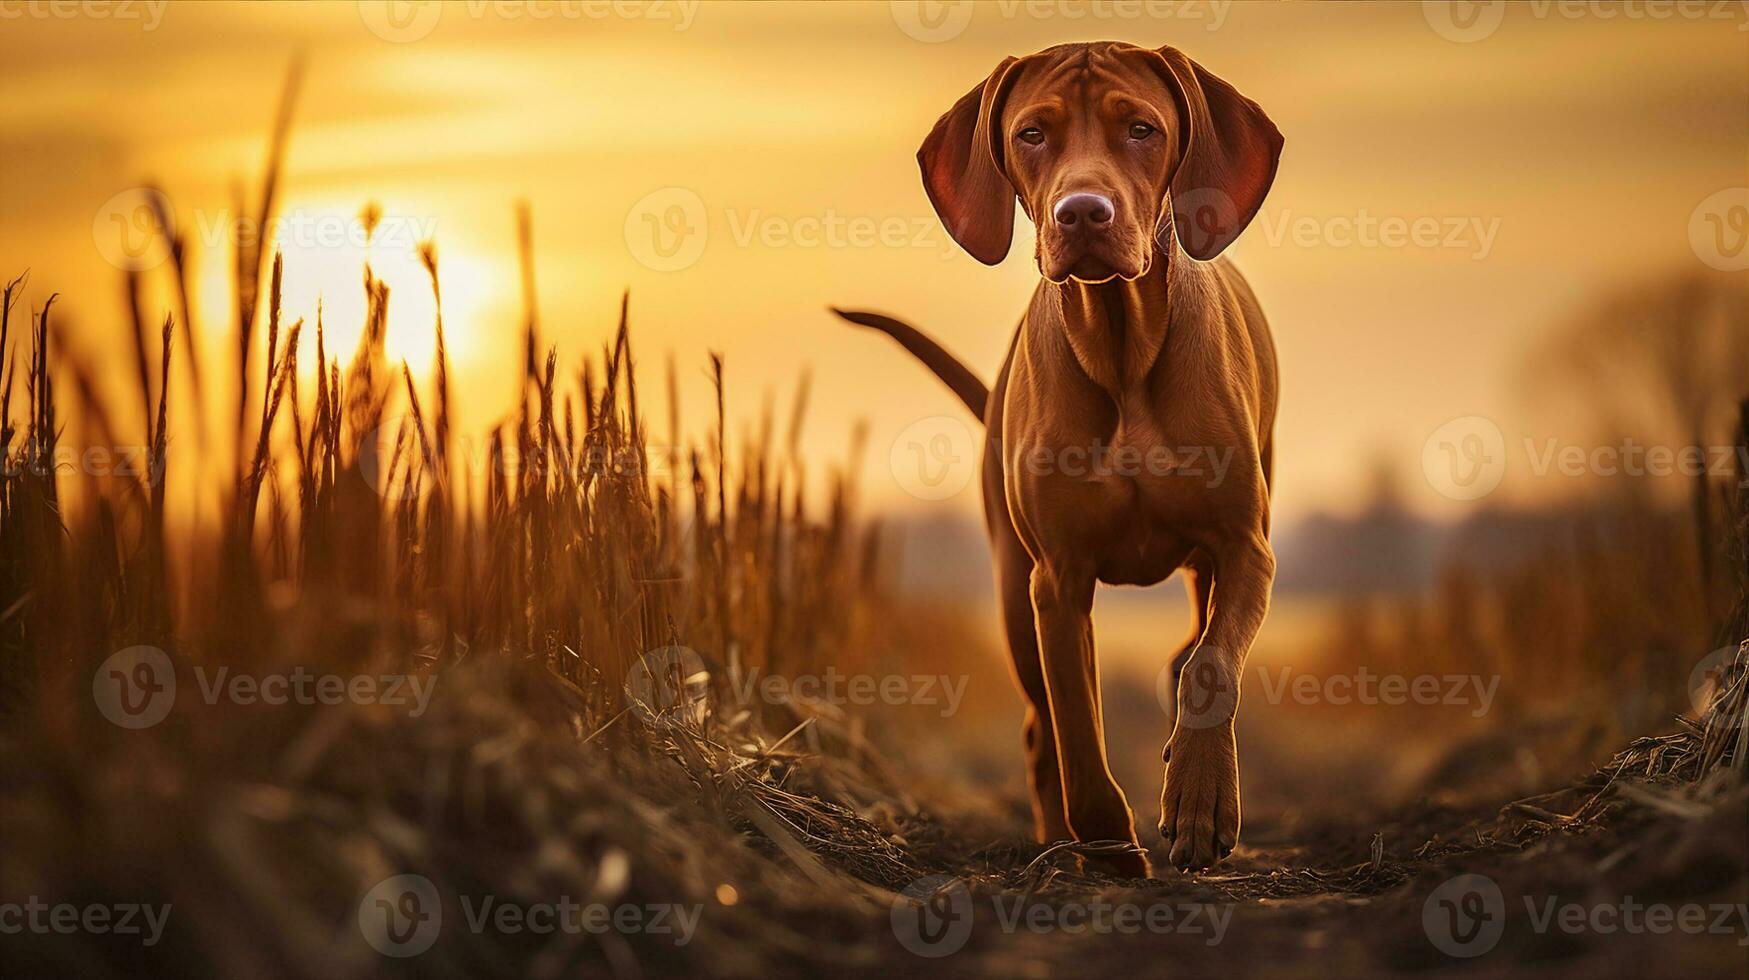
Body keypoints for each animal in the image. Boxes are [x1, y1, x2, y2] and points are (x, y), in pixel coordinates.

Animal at [832, 42, 1287, 875]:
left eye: (1141, 128)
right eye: (1031, 134)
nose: (1081, 212)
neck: (1119, 341)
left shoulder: (1244, 548)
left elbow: (1210, 667)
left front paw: (1201, 801)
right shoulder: (1056, 579)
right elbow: (1076, 721)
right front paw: (1107, 841)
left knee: (1189, 648)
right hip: (1013, 593)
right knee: (1040, 726)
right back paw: (1057, 841)